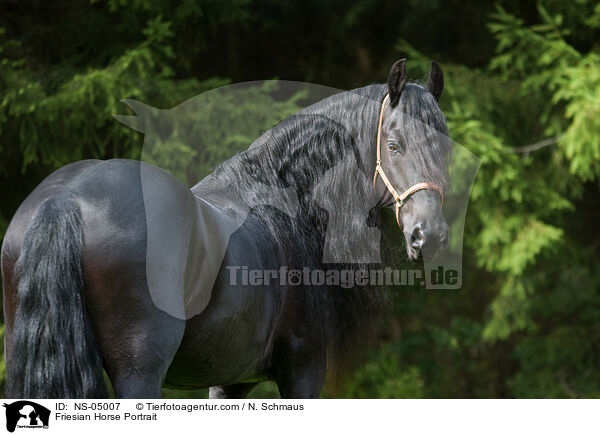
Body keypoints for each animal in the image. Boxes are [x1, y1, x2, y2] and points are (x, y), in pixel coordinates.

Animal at [1, 59, 450, 400]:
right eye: (392, 145)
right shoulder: (302, 366)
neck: (292, 204)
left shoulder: (230, 380)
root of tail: (66, 201)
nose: (429, 235)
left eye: (444, 147)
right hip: (139, 373)